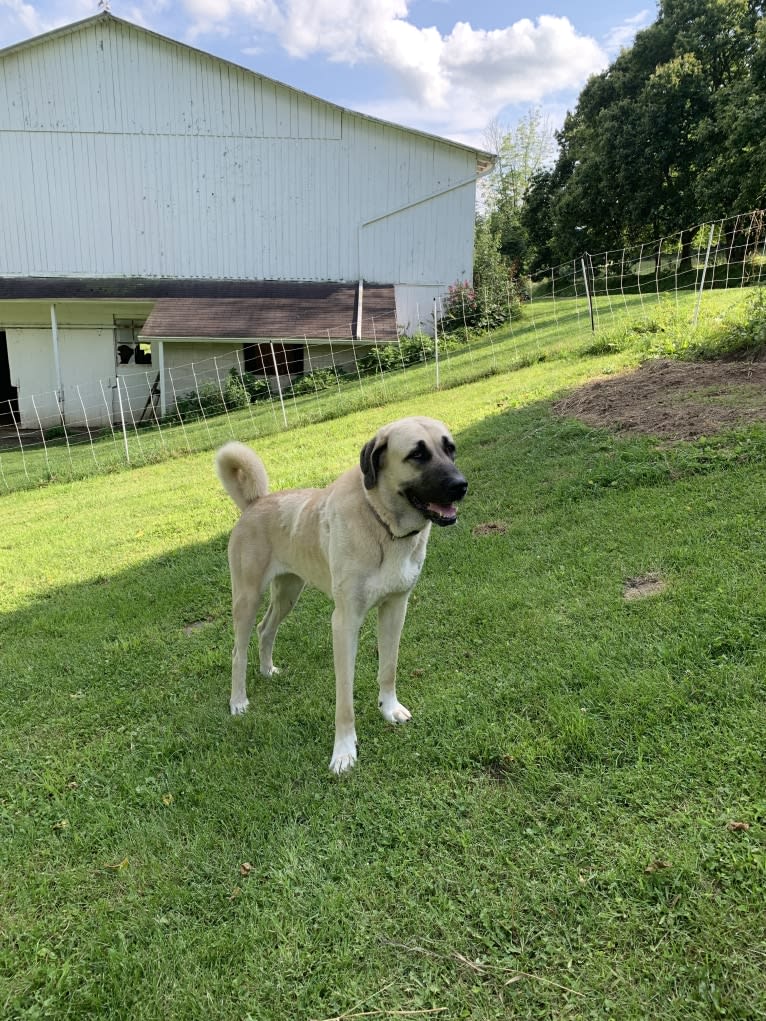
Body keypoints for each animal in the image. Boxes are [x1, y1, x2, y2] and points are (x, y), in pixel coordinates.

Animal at [214, 414, 467, 771]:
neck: (382, 523)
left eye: (450, 448)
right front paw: (344, 751)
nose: (461, 485)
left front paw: (389, 708)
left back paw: (267, 670)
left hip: (288, 592)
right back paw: (238, 700)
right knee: (238, 651)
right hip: (247, 597)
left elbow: (388, 668)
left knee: (266, 629)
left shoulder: (395, 608)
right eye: (417, 454)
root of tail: (255, 502)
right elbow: (344, 700)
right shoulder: (345, 622)